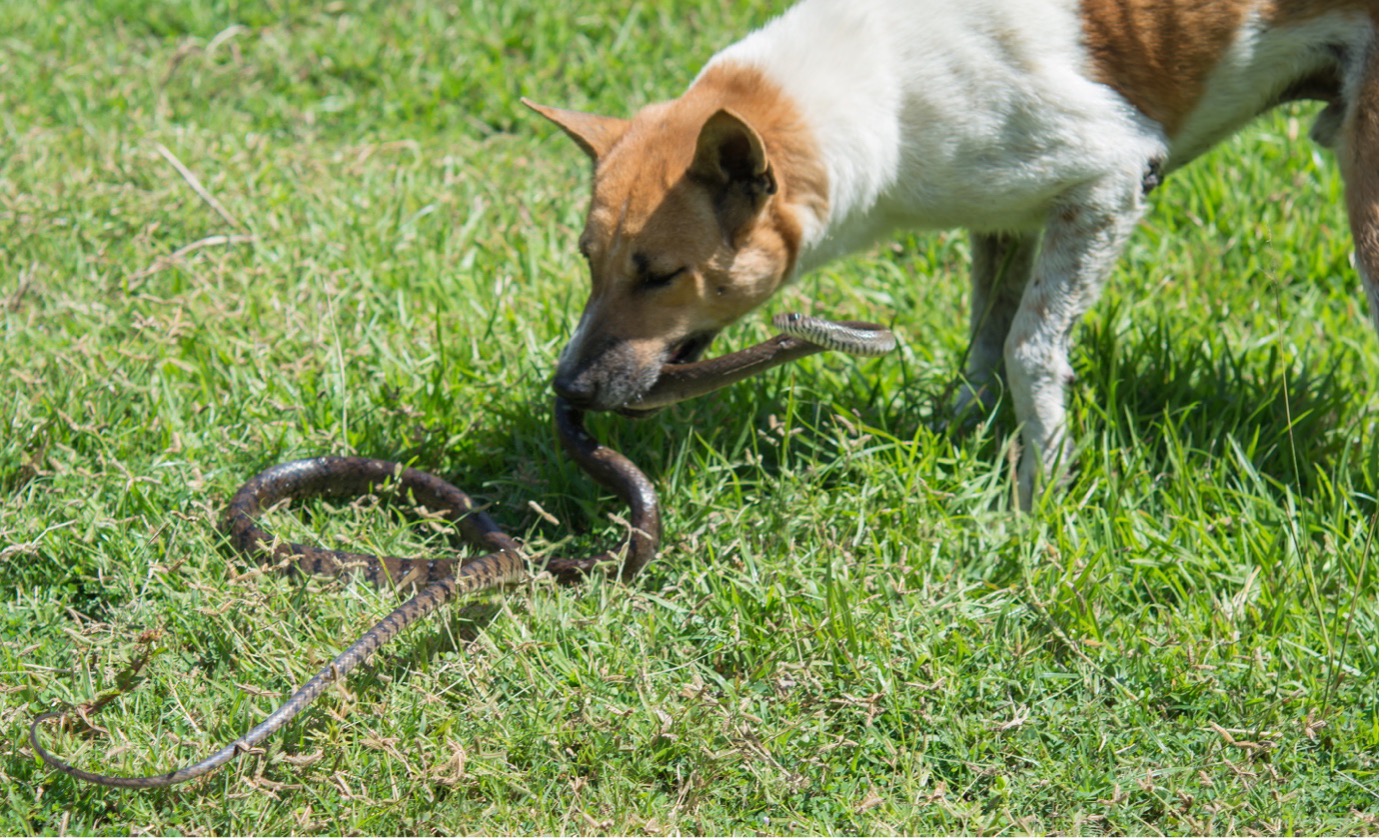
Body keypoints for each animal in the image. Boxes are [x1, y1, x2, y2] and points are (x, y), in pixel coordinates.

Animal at [523, 0, 1378, 509]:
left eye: (662, 276)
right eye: (587, 260)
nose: (569, 387)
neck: (880, 90)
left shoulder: (1109, 180)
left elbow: (1029, 349)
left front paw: (1038, 499)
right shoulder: (1007, 218)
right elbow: (983, 344)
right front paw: (957, 432)